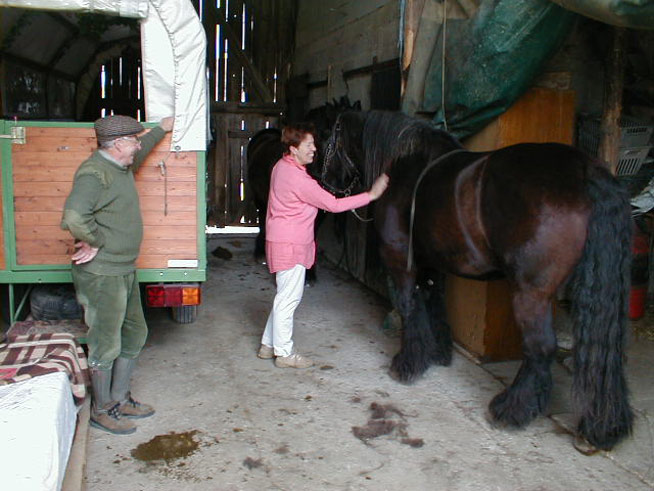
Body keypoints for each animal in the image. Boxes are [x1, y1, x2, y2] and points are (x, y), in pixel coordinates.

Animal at [246, 97, 362, 280]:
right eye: (346, 137)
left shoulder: (318, 212)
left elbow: (311, 236)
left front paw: (310, 273)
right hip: (260, 198)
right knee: (263, 219)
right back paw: (260, 252)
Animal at [322, 109, 636, 452]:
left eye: (329, 141)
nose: (326, 183)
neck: (404, 166)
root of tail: (585, 170)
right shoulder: (432, 264)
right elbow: (432, 305)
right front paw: (436, 353)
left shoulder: (400, 259)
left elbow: (409, 307)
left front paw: (407, 363)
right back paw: (604, 426)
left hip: (531, 294)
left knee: (540, 348)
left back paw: (511, 409)